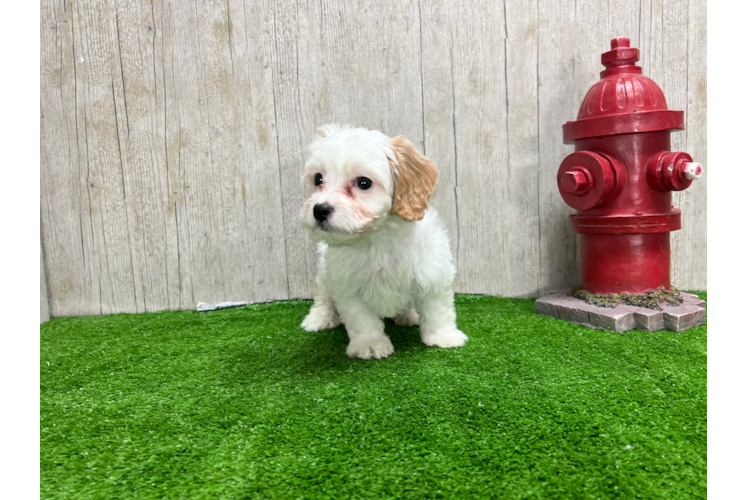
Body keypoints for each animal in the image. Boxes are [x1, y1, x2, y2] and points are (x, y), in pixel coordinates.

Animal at [300, 125, 468, 360]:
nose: (319, 209)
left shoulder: (433, 273)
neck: (376, 239)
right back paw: (319, 318)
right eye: (318, 179)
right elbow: (361, 319)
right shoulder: (347, 287)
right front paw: (370, 344)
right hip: (324, 274)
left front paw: (443, 336)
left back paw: (408, 315)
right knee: (323, 297)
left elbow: (438, 310)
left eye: (363, 183)